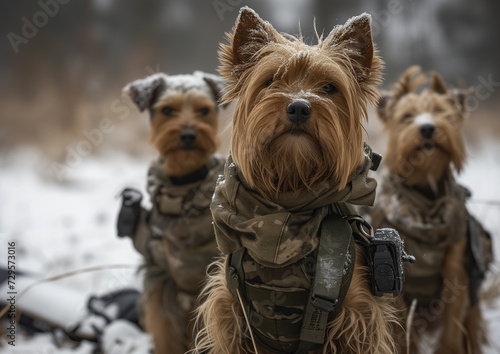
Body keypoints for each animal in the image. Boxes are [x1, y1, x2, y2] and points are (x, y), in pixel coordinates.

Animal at [372, 65, 492, 352]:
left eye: (440, 113)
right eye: (407, 117)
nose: (427, 128)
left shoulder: (456, 272)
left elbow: (452, 328)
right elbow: (402, 328)